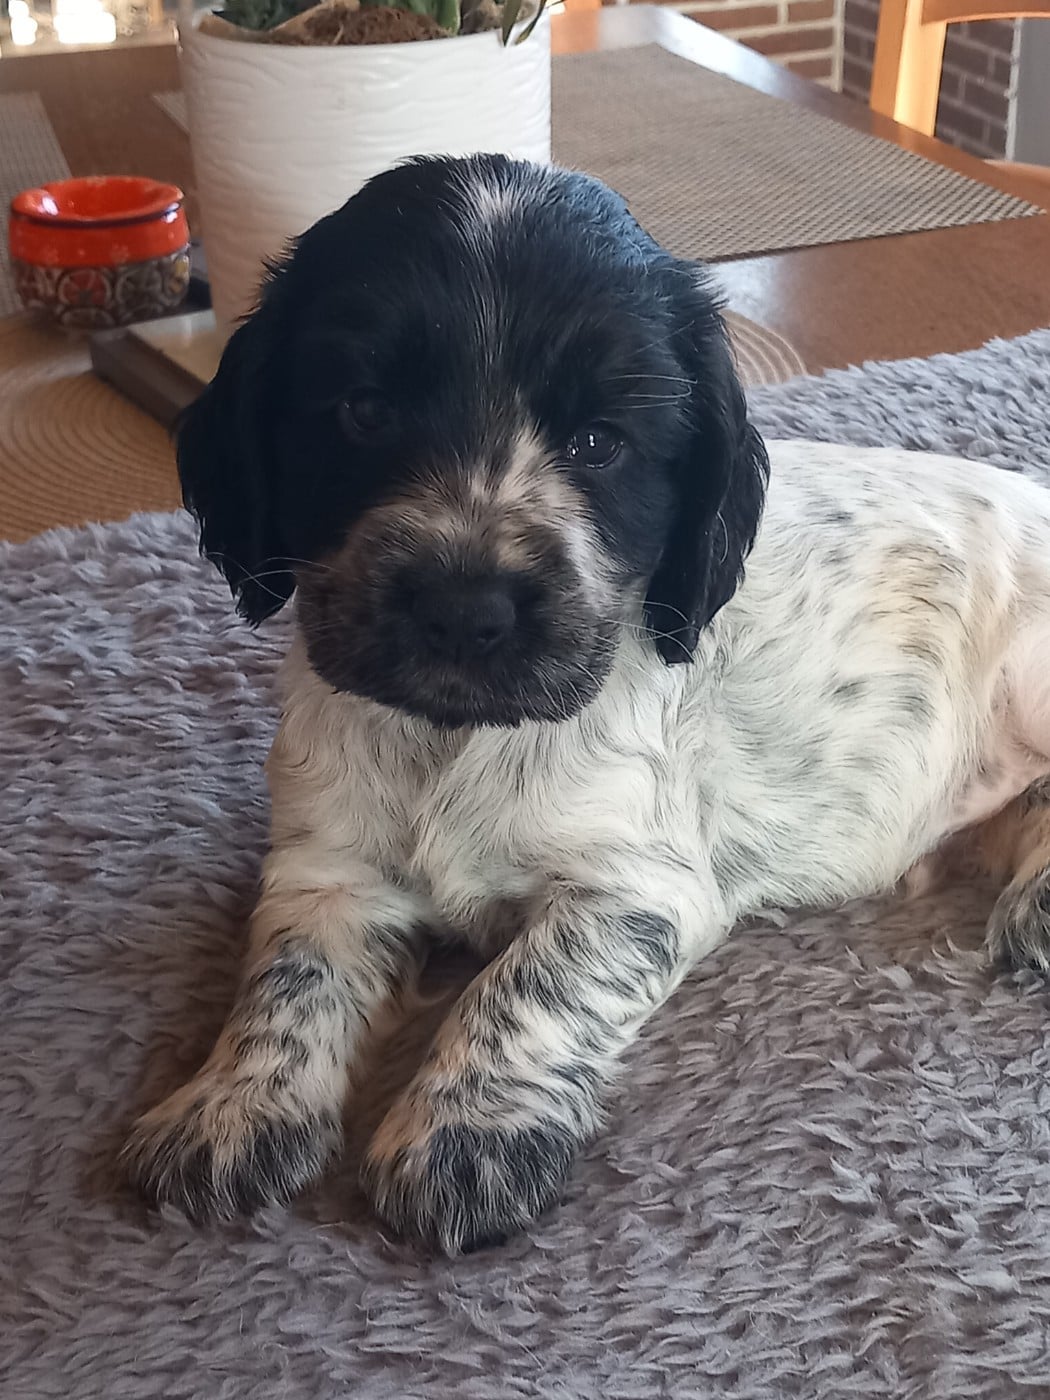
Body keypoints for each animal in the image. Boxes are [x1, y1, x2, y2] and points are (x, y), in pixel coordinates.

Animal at [123, 154, 1050, 1254]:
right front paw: (231, 1105)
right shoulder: (327, 866)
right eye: (363, 412)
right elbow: (287, 976)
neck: (455, 738)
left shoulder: (635, 885)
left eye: (600, 442)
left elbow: (525, 982)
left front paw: (466, 1135)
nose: (465, 608)